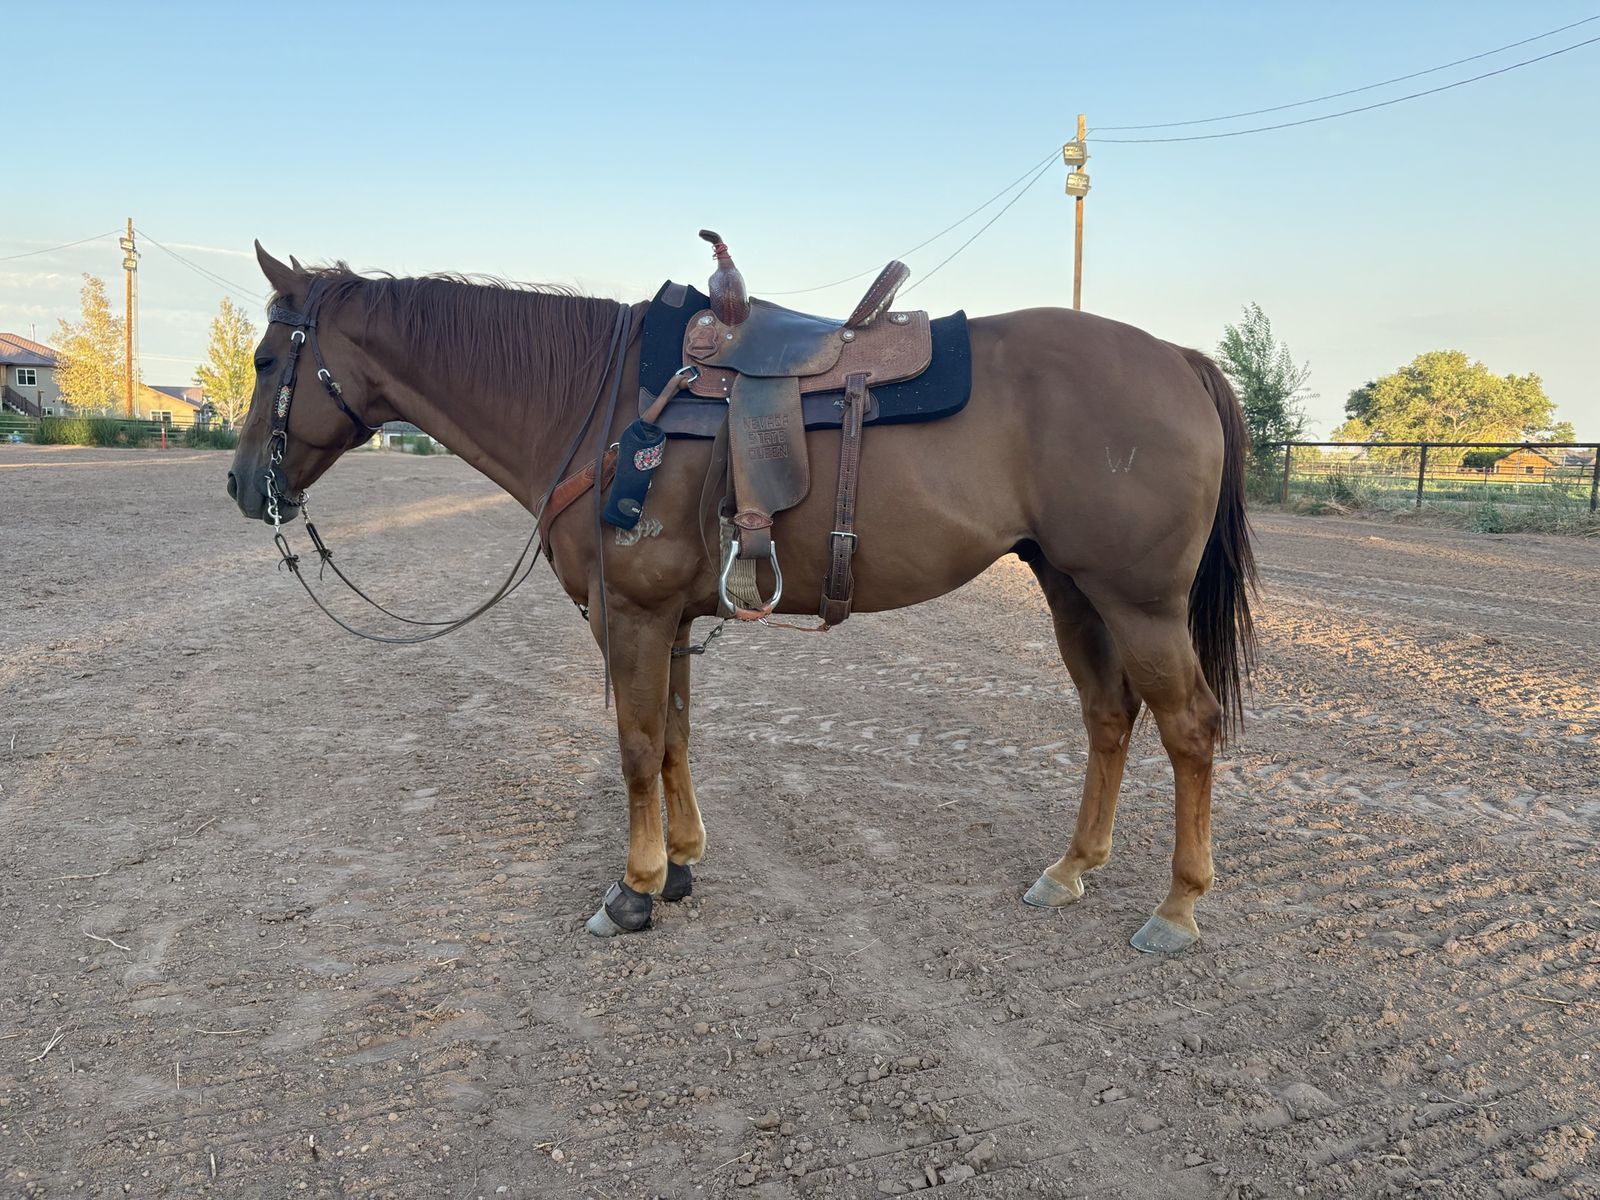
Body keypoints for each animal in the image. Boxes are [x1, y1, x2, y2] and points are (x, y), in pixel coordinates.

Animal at [227, 242, 1256, 954]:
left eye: (269, 362)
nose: (242, 487)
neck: (602, 407)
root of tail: (1177, 356)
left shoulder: (631, 616)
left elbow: (636, 746)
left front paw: (633, 891)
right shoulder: (669, 620)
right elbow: (675, 739)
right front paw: (680, 868)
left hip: (1139, 603)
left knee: (1189, 728)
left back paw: (1177, 908)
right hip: (1073, 590)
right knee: (1109, 718)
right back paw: (1071, 869)